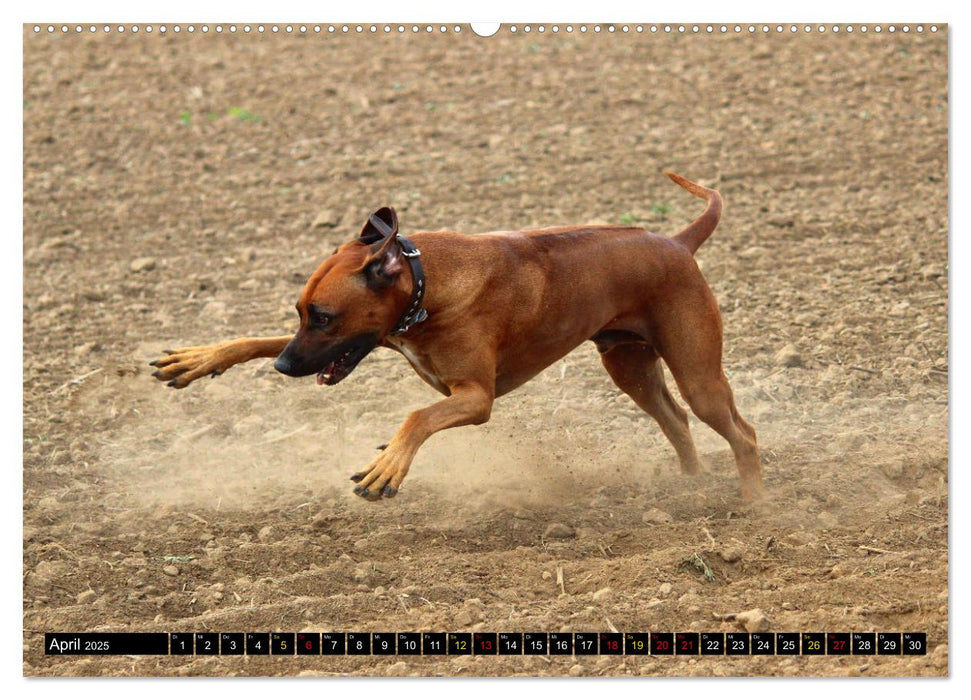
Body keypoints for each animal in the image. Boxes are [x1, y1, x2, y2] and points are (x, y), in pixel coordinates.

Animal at [148, 175, 764, 504]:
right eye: (302, 313)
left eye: (324, 318)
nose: (282, 368)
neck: (427, 287)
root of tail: (678, 242)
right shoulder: (385, 341)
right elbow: (255, 337)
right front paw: (200, 358)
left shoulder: (475, 397)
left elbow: (416, 416)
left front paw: (387, 467)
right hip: (629, 364)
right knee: (676, 420)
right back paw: (691, 489)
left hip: (697, 370)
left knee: (742, 431)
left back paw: (755, 506)